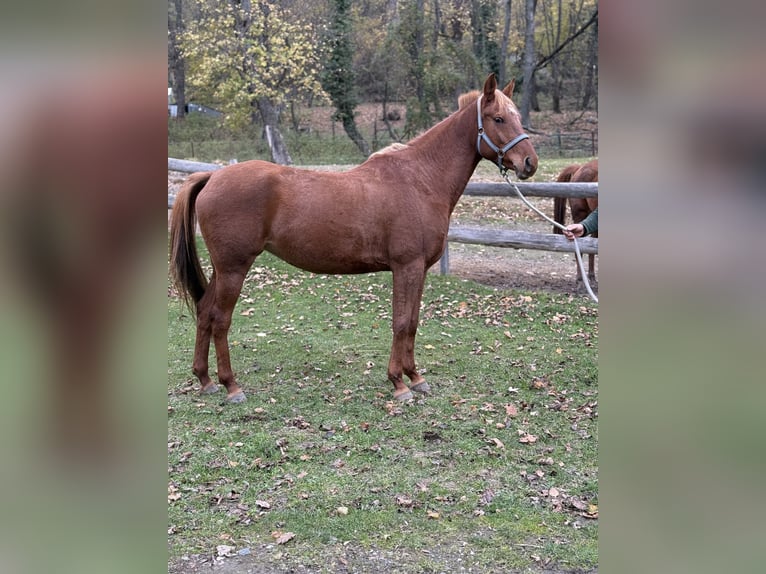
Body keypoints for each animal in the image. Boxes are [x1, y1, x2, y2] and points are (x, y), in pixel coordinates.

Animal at [169, 73, 538, 403]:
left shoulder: (419, 270)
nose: (529, 163)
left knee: (204, 311)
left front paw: (415, 378)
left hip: (223, 269)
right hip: (234, 268)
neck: (420, 179)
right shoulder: (406, 266)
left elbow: (413, 322)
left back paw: (205, 381)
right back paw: (231, 387)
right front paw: (399, 384)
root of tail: (213, 176)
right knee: (220, 319)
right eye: (498, 118)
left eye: (518, 117)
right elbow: (401, 322)